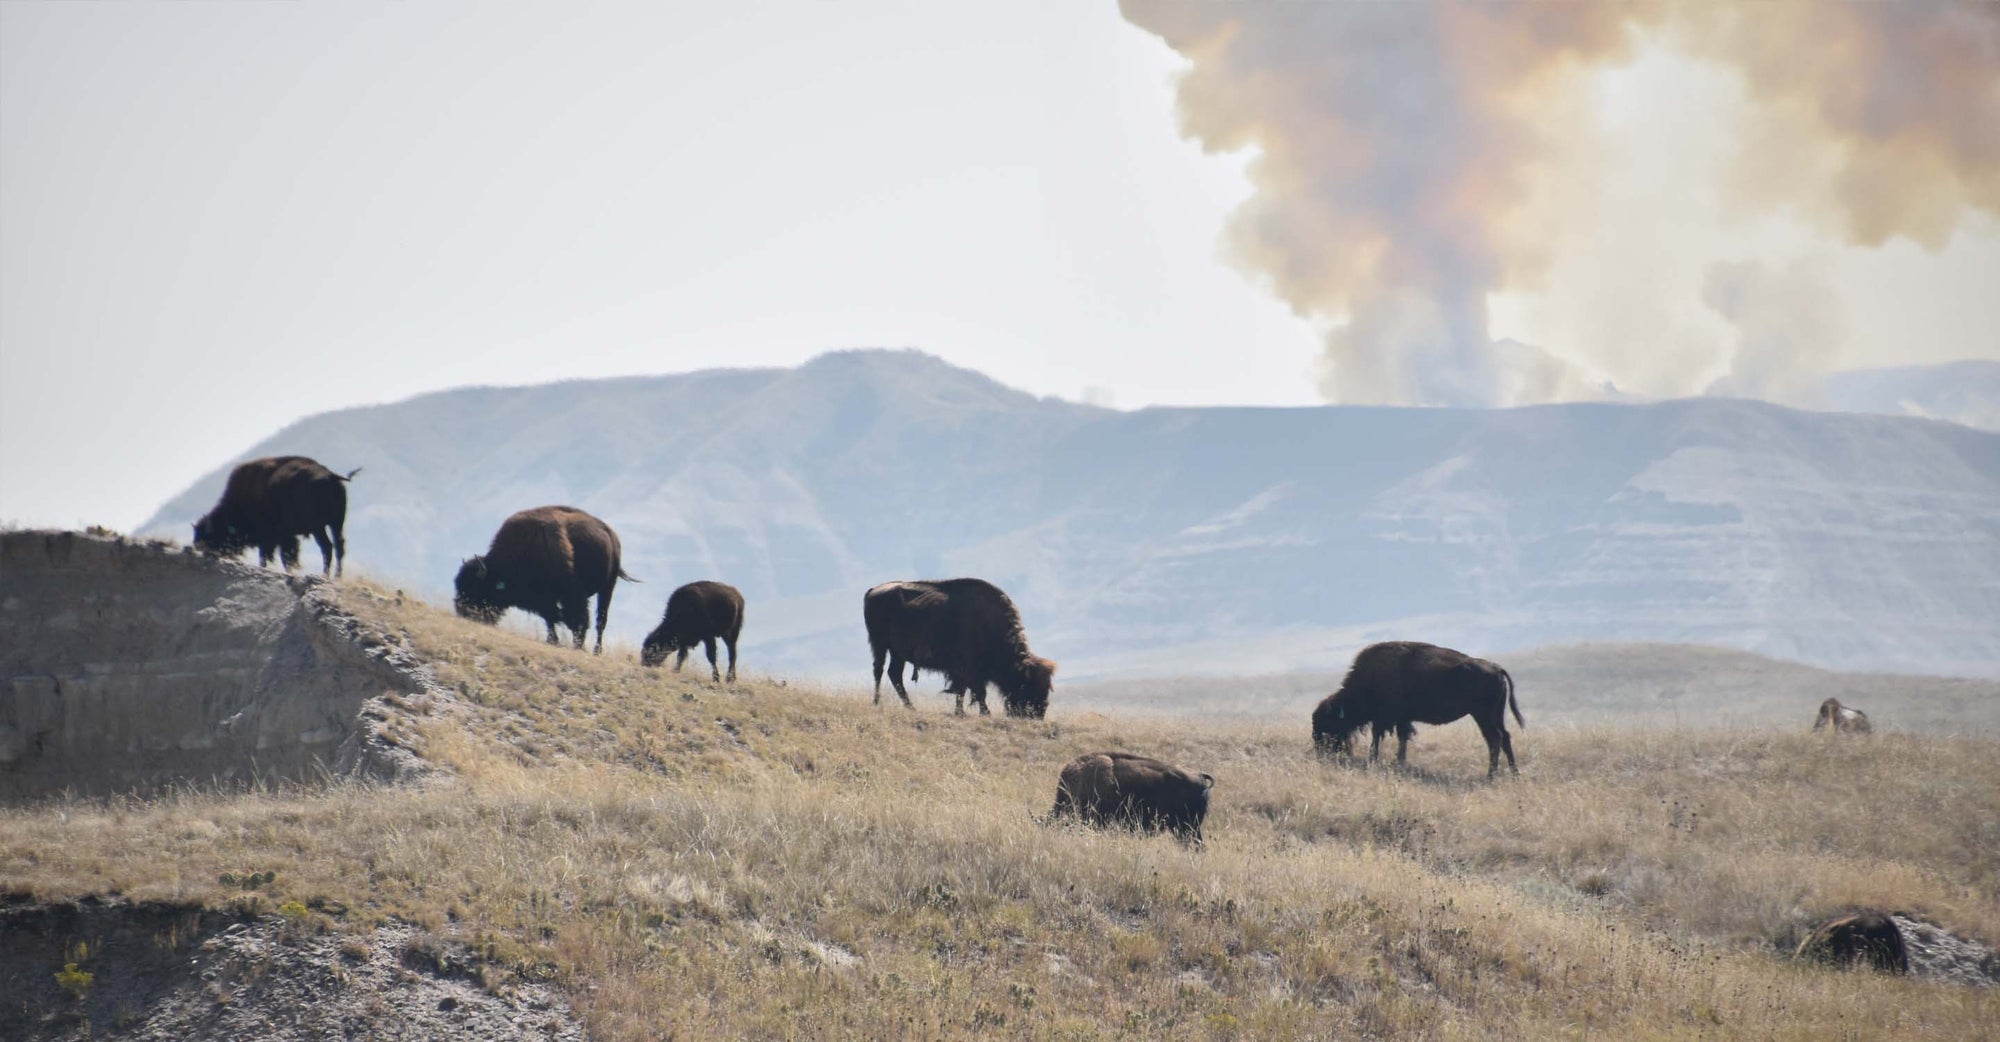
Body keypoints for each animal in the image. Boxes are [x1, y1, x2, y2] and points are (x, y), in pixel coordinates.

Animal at [191, 450, 360, 572]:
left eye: (210, 536)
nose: (197, 546)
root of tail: (330, 475)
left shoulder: (274, 536)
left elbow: (275, 555)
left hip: (318, 527)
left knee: (327, 547)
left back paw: (326, 574)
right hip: (335, 523)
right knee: (338, 547)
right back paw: (335, 576)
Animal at [458, 504, 636, 648]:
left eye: (476, 589)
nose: (462, 611)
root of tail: (612, 536)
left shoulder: (570, 594)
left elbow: (576, 619)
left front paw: (577, 645)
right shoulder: (543, 599)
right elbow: (550, 618)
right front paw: (553, 640)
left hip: (607, 587)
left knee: (601, 621)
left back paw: (596, 651)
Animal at [864, 576, 1056, 716]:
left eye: (1046, 687)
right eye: (1026, 684)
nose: (1038, 714)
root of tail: (873, 590)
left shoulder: (969, 672)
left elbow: (966, 691)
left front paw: (966, 712)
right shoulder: (967, 669)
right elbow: (973, 692)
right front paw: (982, 713)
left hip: (897, 652)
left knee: (894, 674)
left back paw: (910, 707)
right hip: (879, 643)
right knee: (879, 670)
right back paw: (876, 702)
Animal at [1312, 636, 1528, 776]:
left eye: (1328, 724)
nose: (1320, 753)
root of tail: (1496, 668)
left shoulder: (1385, 718)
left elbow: (1380, 737)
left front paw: (1378, 760)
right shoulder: (1400, 719)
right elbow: (1401, 738)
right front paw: (1398, 761)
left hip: (1483, 715)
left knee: (1495, 739)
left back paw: (1491, 776)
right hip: (1494, 715)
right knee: (1503, 737)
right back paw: (1513, 774)